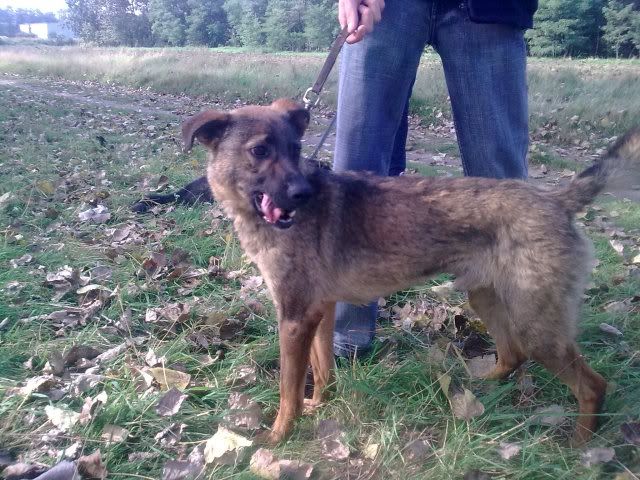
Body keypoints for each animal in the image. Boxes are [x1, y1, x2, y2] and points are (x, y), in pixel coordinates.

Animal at [180, 98, 640, 446]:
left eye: (295, 149)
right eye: (261, 151)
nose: (303, 193)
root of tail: (556, 199)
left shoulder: (294, 319)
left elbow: (289, 388)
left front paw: (279, 436)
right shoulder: (318, 313)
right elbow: (323, 371)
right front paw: (321, 406)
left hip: (536, 324)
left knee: (591, 386)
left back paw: (577, 450)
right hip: (487, 298)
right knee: (512, 355)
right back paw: (481, 386)